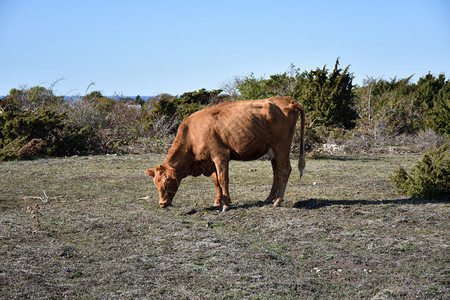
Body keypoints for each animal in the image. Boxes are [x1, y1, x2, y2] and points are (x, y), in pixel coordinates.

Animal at [144, 96, 306, 211]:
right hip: (273, 151)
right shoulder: (210, 160)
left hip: (282, 146)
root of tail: (287, 99)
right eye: (155, 183)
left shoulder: (220, 155)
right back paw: (269, 198)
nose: (162, 203)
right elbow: (216, 181)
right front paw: (218, 201)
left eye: (167, 182)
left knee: (285, 170)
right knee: (276, 173)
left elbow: (223, 180)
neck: (193, 134)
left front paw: (226, 204)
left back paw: (278, 201)